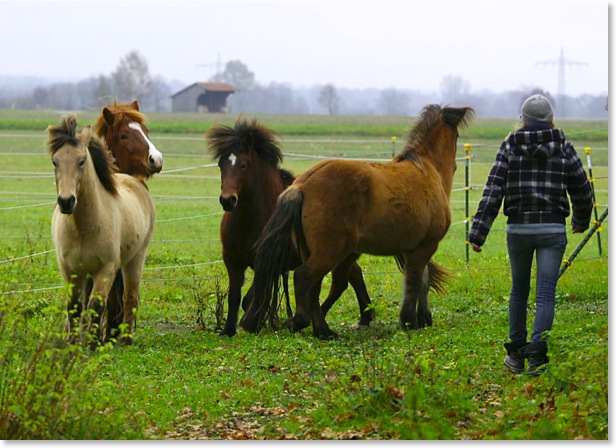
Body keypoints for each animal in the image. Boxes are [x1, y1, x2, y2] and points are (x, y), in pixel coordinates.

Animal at [207, 117, 372, 338]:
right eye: (221, 164)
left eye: (243, 165)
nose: (227, 200)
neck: (249, 220)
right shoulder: (232, 260)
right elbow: (235, 297)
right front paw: (228, 330)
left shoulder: (268, 263)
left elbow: (253, 298)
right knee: (352, 275)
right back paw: (362, 317)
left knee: (341, 281)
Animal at [243, 106, 474, 340]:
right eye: (457, 137)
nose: (456, 166)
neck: (426, 170)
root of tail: (302, 185)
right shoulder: (426, 245)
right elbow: (414, 281)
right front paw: (410, 321)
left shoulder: (412, 248)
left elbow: (423, 281)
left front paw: (422, 318)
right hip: (331, 251)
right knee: (304, 278)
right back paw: (306, 324)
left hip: (316, 251)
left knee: (315, 287)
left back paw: (322, 330)